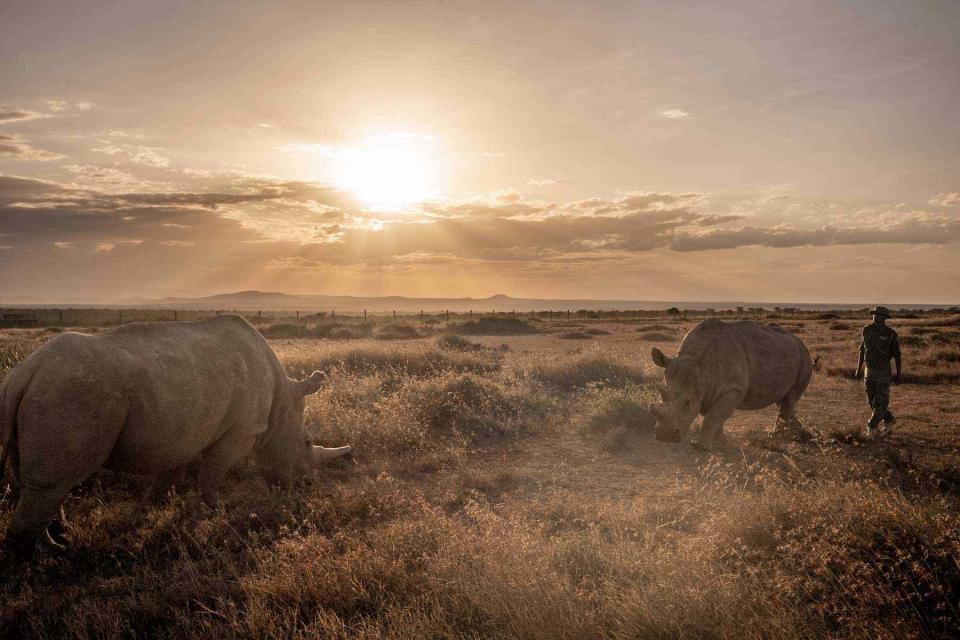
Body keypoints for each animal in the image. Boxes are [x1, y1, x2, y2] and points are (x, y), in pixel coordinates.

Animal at [0, 314, 352, 552]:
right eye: (307, 443)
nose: (308, 486)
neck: (281, 405)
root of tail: (25, 374)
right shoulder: (241, 431)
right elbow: (212, 474)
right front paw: (215, 514)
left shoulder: (182, 433)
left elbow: (168, 476)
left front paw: (149, 511)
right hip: (70, 393)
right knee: (52, 483)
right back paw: (49, 557)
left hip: (48, 392)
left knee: (44, 482)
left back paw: (60, 536)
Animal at [644, 320, 816, 450]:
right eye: (659, 397)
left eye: (687, 403)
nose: (664, 436)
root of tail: (798, 340)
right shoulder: (708, 389)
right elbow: (714, 415)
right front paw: (719, 443)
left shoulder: (733, 389)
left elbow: (714, 415)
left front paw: (700, 446)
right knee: (783, 400)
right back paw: (789, 434)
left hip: (804, 356)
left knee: (788, 400)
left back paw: (781, 437)